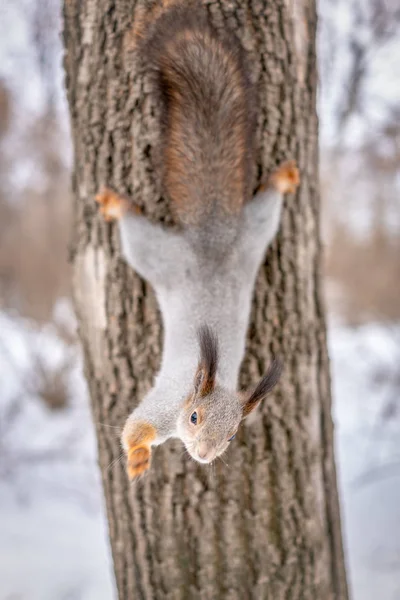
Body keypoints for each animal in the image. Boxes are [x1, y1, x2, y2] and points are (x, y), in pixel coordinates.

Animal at [95, 0, 298, 478]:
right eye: (192, 417)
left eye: (233, 436)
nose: (205, 455)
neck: (208, 381)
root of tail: (213, 236)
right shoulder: (164, 403)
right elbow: (136, 424)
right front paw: (137, 458)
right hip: (157, 254)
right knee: (134, 229)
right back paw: (115, 203)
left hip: (254, 236)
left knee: (268, 204)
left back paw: (284, 177)